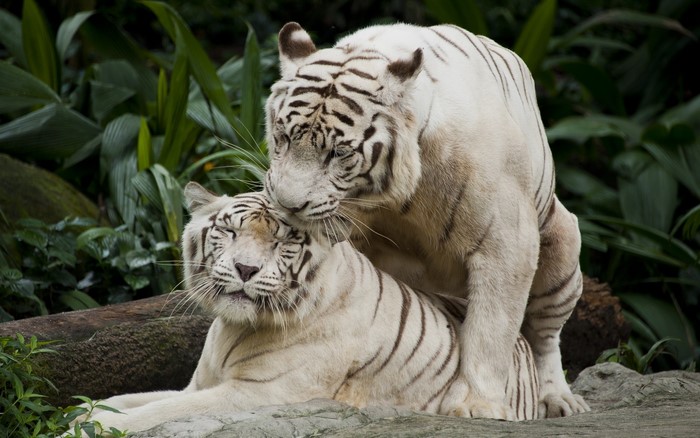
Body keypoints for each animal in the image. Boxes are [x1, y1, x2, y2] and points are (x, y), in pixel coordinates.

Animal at [82, 183, 539, 434]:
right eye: (229, 232)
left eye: (283, 242)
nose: (245, 269)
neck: (234, 327)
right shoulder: (198, 384)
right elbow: (127, 399)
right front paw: (83, 414)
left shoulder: (260, 393)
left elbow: (158, 412)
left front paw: (91, 428)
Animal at [263, 22, 589, 419]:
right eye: (282, 137)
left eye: (338, 153)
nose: (287, 204)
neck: (393, 198)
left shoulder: (507, 242)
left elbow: (492, 329)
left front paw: (477, 405)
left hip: (561, 244)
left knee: (545, 336)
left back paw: (557, 399)